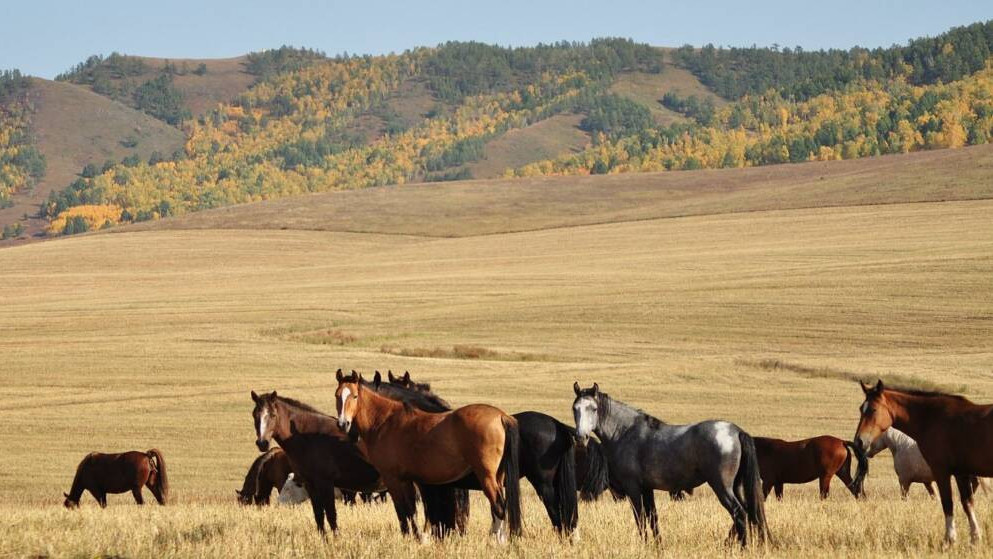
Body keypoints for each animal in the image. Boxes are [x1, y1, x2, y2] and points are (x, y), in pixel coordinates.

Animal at [250, 392, 382, 536]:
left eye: (273, 415)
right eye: (255, 415)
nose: (262, 443)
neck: (309, 437)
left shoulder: (326, 484)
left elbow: (331, 515)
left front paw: (336, 539)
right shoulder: (310, 484)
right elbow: (318, 515)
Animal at [334, 372, 524, 544]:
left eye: (355, 396)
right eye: (337, 395)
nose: (343, 424)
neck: (386, 420)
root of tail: (501, 416)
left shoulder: (394, 479)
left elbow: (403, 511)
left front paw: (411, 538)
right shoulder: (409, 480)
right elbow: (412, 511)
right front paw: (419, 538)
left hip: (487, 476)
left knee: (499, 506)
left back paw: (497, 540)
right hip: (497, 476)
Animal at [564, 382, 768, 544]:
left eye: (593, 409)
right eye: (575, 408)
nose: (580, 438)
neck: (625, 432)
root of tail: (736, 431)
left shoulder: (633, 488)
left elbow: (640, 519)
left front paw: (645, 545)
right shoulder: (647, 489)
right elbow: (653, 519)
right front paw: (657, 546)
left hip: (722, 487)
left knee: (739, 513)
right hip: (736, 486)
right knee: (748, 513)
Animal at [848, 380, 992, 548]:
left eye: (873, 409)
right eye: (861, 409)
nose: (858, 441)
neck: (932, 419)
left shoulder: (941, 473)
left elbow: (947, 504)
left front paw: (949, 540)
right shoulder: (960, 474)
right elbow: (968, 503)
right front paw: (975, 538)